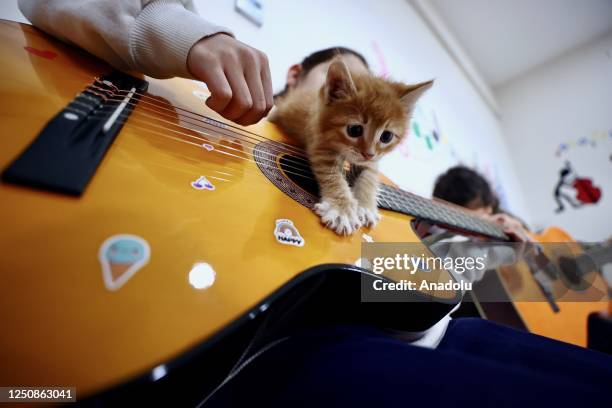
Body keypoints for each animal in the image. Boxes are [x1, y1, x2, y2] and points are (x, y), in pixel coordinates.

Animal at [270, 59, 432, 234]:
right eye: (354, 130)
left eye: (386, 136)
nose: (368, 154)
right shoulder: (320, 144)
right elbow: (332, 176)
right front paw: (342, 210)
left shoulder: (372, 161)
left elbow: (369, 177)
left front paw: (366, 207)